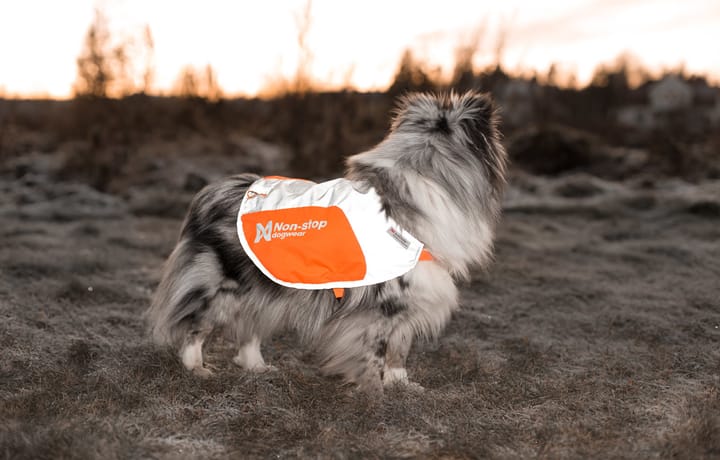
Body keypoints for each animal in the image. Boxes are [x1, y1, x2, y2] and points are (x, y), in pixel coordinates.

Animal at [145, 91, 506, 394]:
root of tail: (209, 193)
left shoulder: (413, 296)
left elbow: (400, 348)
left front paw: (402, 386)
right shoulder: (385, 303)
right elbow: (378, 350)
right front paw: (375, 391)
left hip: (265, 287)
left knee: (249, 326)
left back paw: (257, 366)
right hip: (226, 288)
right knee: (198, 324)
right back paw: (197, 368)